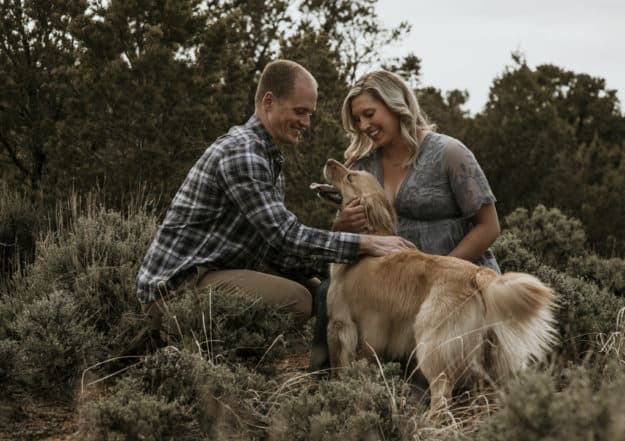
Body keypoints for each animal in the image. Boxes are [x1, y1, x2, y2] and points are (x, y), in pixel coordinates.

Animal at [316, 158, 556, 410]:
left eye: (350, 176)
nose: (330, 161)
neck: (369, 238)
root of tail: (478, 275)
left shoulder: (340, 324)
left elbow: (338, 366)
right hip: (488, 354)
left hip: (432, 344)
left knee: (441, 393)